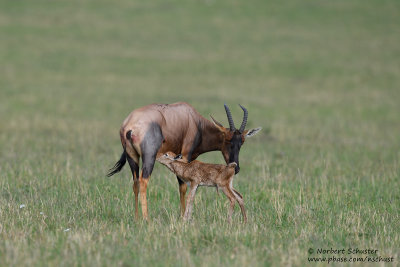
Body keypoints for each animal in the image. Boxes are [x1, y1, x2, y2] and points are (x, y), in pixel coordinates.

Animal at [108, 102, 260, 220]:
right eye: (227, 139)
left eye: (242, 141)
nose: (236, 167)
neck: (193, 120)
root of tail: (130, 127)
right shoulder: (185, 155)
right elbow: (183, 187)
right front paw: (183, 217)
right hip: (149, 157)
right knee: (143, 181)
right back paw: (147, 219)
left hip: (132, 158)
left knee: (135, 183)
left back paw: (137, 218)